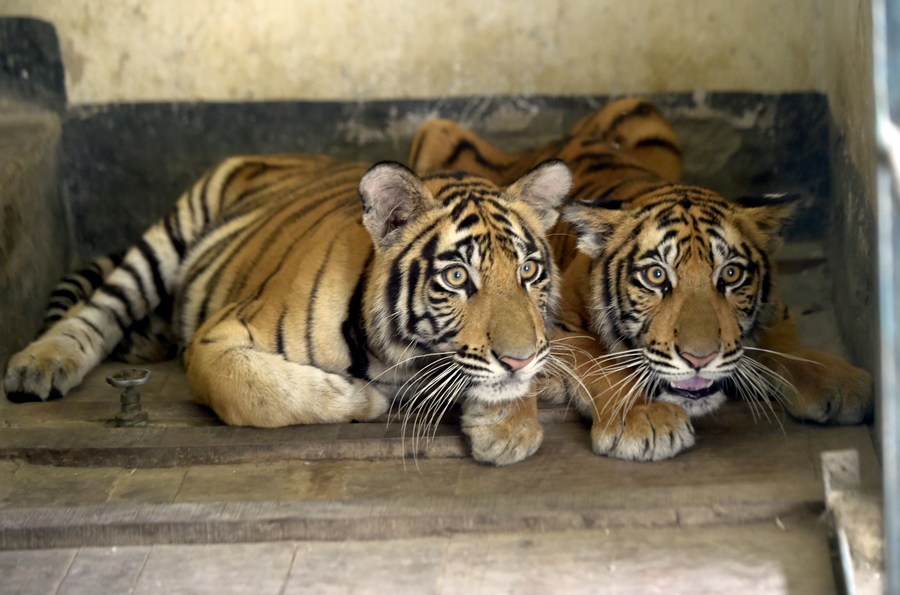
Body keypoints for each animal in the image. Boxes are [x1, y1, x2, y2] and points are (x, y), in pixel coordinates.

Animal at [3, 154, 572, 466]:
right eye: (456, 278)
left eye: (528, 271)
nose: (519, 359)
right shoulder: (216, 338)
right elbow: (259, 393)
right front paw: (365, 399)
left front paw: (510, 428)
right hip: (168, 236)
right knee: (98, 310)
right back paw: (40, 365)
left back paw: (149, 340)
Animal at [406, 96, 872, 460]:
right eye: (655, 275)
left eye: (731, 274)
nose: (700, 358)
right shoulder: (557, 328)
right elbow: (602, 363)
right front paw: (644, 419)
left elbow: (785, 342)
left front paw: (839, 383)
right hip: (437, 129)